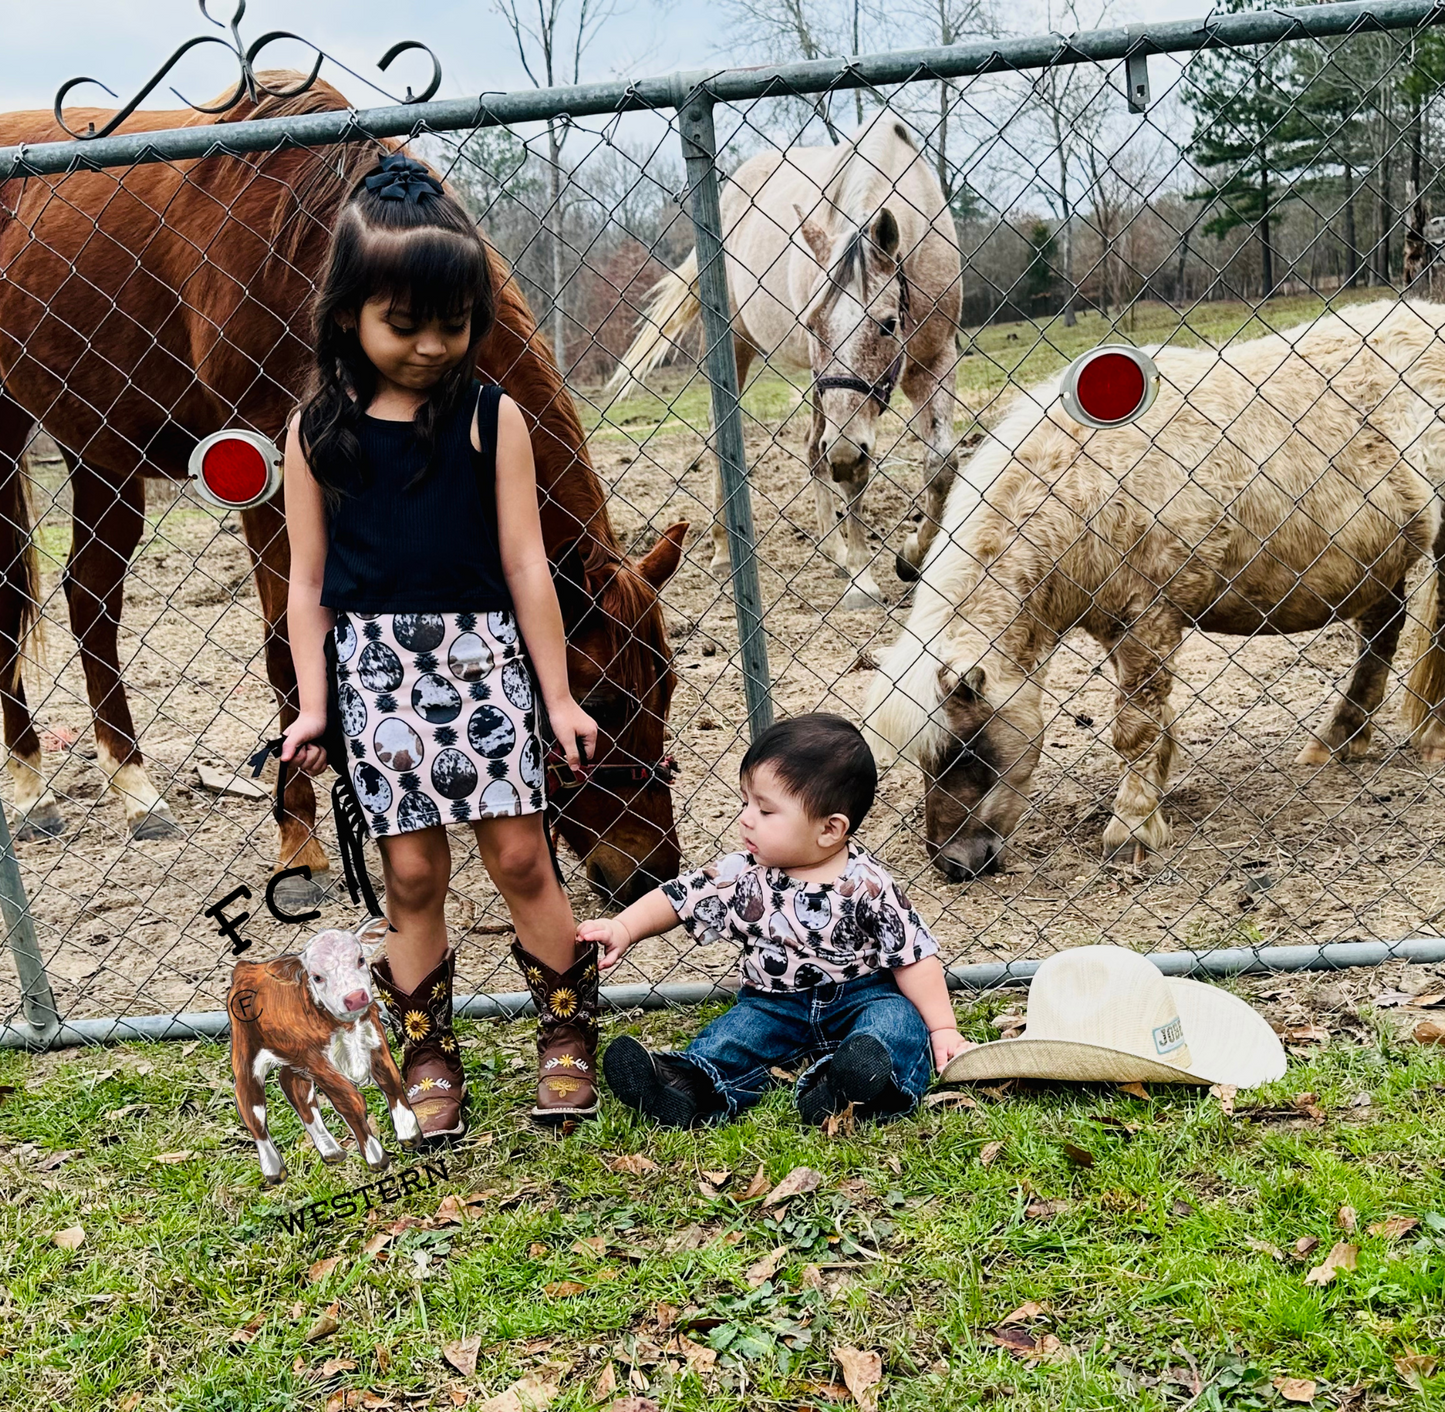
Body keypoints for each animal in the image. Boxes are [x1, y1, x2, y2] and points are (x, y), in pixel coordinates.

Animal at [0, 77, 687, 907]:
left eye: (667, 688)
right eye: (602, 701)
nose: (649, 871)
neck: (311, 255)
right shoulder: (270, 486)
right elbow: (287, 655)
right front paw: (300, 848)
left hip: (100, 448)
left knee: (91, 597)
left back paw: (135, 793)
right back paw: (31, 789)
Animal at [606, 112, 959, 609]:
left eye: (889, 324)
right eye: (812, 324)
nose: (845, 454)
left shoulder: (936, 359)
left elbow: (941, 465)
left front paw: (912, 556)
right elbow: (853, 476)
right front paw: (861, 579)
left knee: (814, 449)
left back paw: (831, 549)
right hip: (736, 346)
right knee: (727, 440)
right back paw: (723, 552)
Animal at [861, 299, 1445, 878]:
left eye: (968, 752)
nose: (954, 864)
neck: (1091, 486)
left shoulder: (1151, 619)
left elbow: (1134, 725)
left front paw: (1133, 827)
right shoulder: (1117, 628)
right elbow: (1153, 719)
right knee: (1383, 628)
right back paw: (1338, 738)